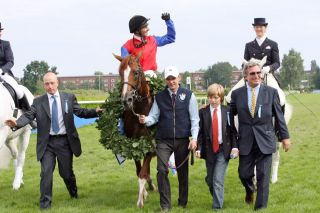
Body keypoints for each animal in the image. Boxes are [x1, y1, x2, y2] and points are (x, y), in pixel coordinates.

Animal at [114, 53, 156, 208]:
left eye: (136, 72)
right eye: (120, 73)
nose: (126, 99)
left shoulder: (150, 145)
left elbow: (142, 174)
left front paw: (140, 201)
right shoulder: (134, 144)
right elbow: (139, 171)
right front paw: (143, 194)